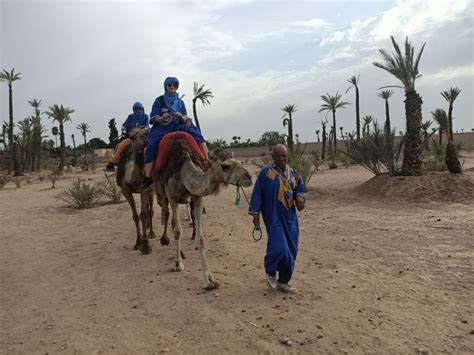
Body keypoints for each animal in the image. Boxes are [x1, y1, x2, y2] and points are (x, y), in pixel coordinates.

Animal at [115, 128, 156, 256]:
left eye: (146, 133)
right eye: (131, 136)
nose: (144, 142)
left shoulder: (144, 189)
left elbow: (143, 215)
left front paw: (146, 246)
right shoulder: (125, 190)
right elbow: (135, 216)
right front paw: (138, 243)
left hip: (152, 190)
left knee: (150, 210)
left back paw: (151, 233)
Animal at [155, 138, 252, 290]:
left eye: (239, 162)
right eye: (225, 166)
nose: (249, 177)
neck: (183, 173)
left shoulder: (197, 196)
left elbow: (200, 238)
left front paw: (209, 280)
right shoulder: (172, 197)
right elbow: (177, 230)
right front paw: (178, 265)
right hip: (161, 194)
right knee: (163, 214)